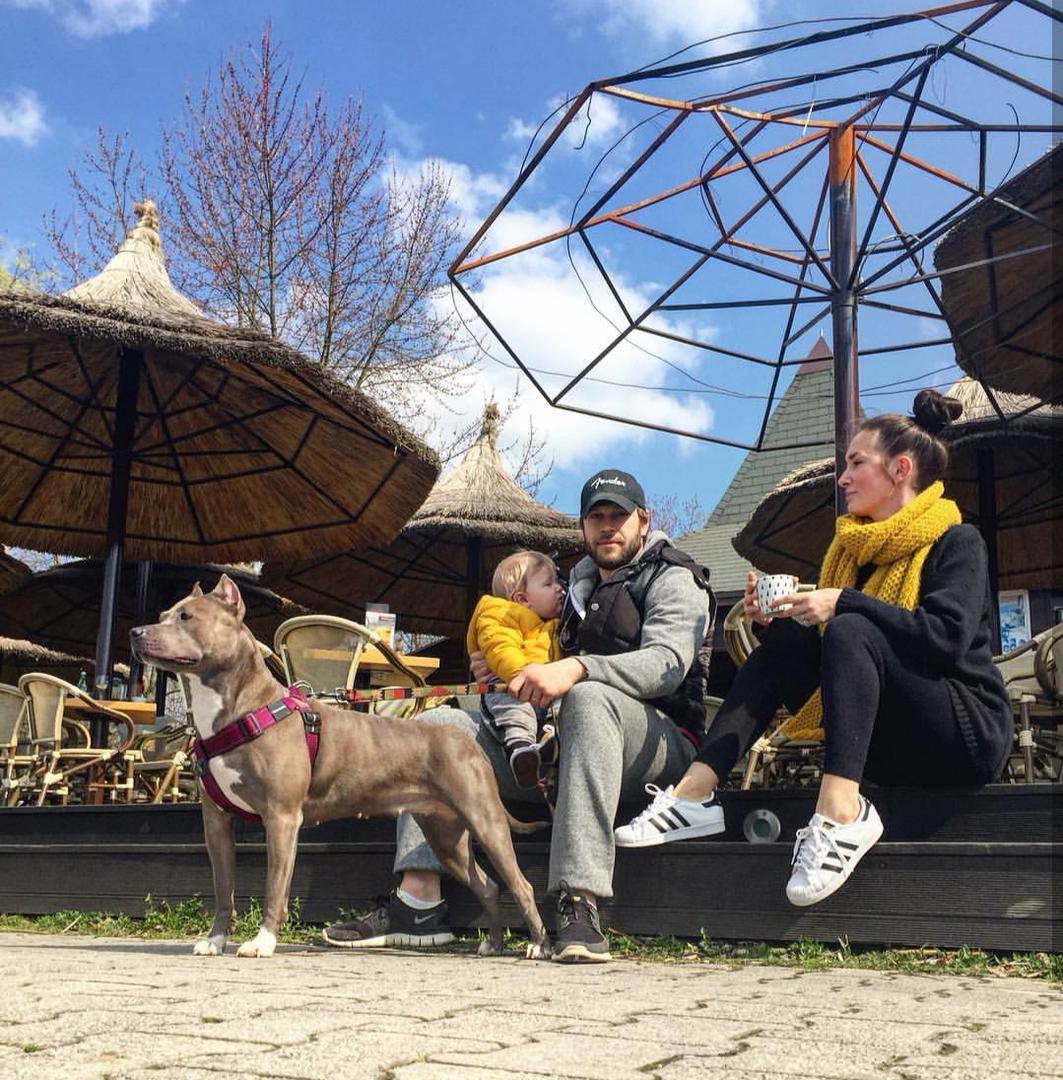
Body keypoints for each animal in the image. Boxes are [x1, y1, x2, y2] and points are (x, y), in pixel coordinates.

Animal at [130, 575, 550, 960]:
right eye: (162, 615)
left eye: (186, 617)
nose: (135, 632)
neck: (240, 709)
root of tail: (467, 742)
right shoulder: (216, 822)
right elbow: (223, 889)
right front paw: (216, 940)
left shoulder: (281, 817)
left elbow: (274, 888)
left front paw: (263, 942)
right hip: (445, 836)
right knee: (487, 885)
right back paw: (493, 944)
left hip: (485, 821)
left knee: (521, 884)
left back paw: (539, 945)